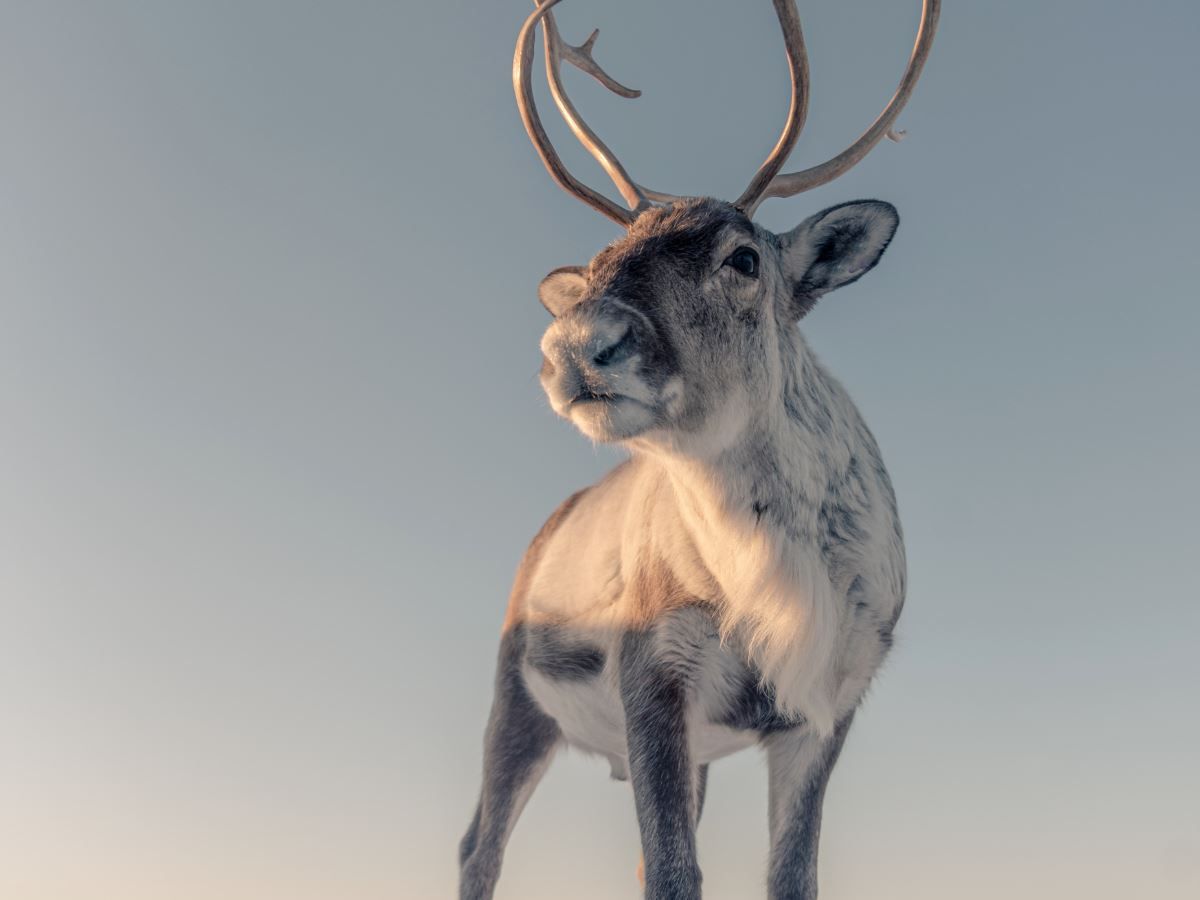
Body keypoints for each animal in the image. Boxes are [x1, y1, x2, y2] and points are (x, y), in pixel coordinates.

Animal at [459, 2, 940, 898]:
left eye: (743, 257)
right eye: (601, 262)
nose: (577, 343)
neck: (780, 587)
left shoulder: (829, 701)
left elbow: (788, 878)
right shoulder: (653, 666)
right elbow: (675, 875)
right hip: (516, 691)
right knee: (480, 845)